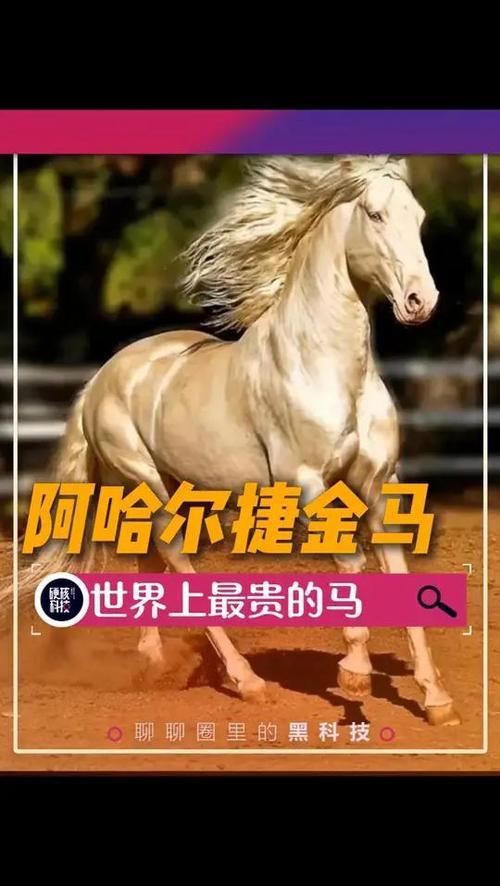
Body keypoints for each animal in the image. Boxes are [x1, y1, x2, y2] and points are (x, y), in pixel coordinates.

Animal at [11, 154, 460, 726]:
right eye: (376, 215)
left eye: (419, 217)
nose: (421, 301)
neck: (327, 368)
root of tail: (102, 378)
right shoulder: (307, 484)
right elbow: (350, 565)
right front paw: (354, 676)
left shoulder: (379, 483)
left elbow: (395, 574)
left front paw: (435, 700)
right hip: (145, 480)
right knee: (177, 559)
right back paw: (247, 682)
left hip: (178, 488)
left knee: (150, 562)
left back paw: (154, 664)